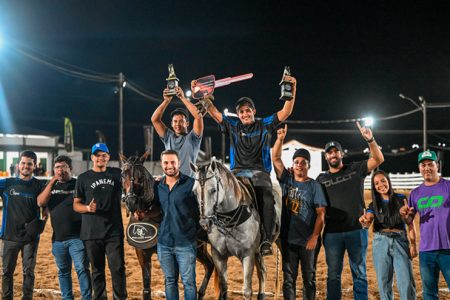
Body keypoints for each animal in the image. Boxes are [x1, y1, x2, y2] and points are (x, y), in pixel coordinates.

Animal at [120, 154, 215, 300]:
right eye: (123, 174)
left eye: (140, 177)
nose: (131, 202)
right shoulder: (142, 253)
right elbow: (147, 286)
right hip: (200, 248)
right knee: (210, 265)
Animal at [191, 158, 282, 298]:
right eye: (194, 192)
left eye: (213, 190)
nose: (204, 223)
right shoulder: (219, 256)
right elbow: (223, 288)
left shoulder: (248, 255)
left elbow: (247, 291)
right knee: (262, 271)